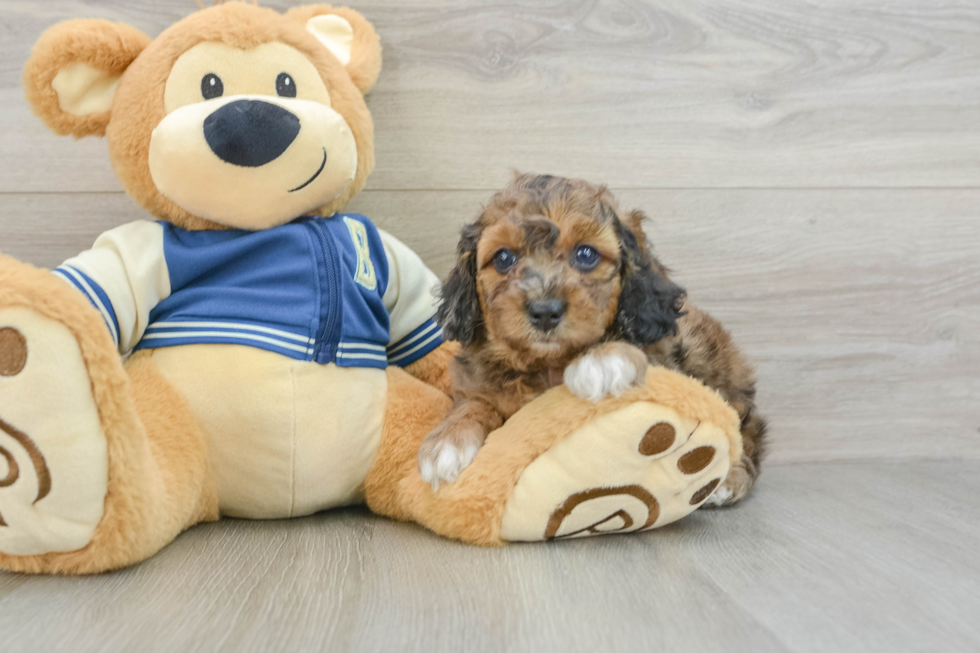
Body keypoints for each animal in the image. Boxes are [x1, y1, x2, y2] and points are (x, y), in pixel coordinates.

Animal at [422, 176, 764, 506]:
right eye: (504, 258)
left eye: (586, 254)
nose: (544, 312)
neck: (545, 363)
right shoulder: (474, 384)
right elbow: (472, 403)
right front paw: (447, 440)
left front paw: (602, 359)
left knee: (744, 431)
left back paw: (730, 479)